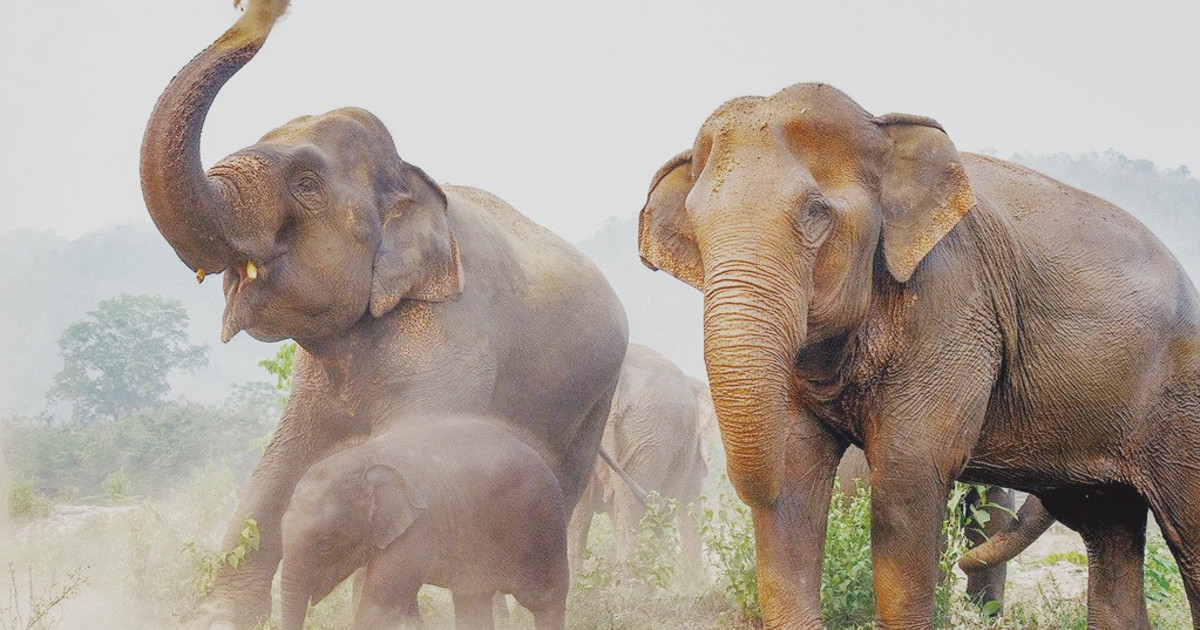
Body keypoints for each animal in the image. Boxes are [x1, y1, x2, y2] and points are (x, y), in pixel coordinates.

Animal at [140, 2, 628, 624]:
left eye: (306, 184)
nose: (259, 16)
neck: (410, 178)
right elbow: (280, 465)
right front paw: (216, 619)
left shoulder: (451, 342)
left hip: (594, 405)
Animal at [643, 83, 1200, 628]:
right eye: (696, 222)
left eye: (815, 213)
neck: (883, 127)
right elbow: (796, 470)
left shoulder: (954, 302)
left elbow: (907, 471)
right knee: (1107, 531)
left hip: (1178, 401)